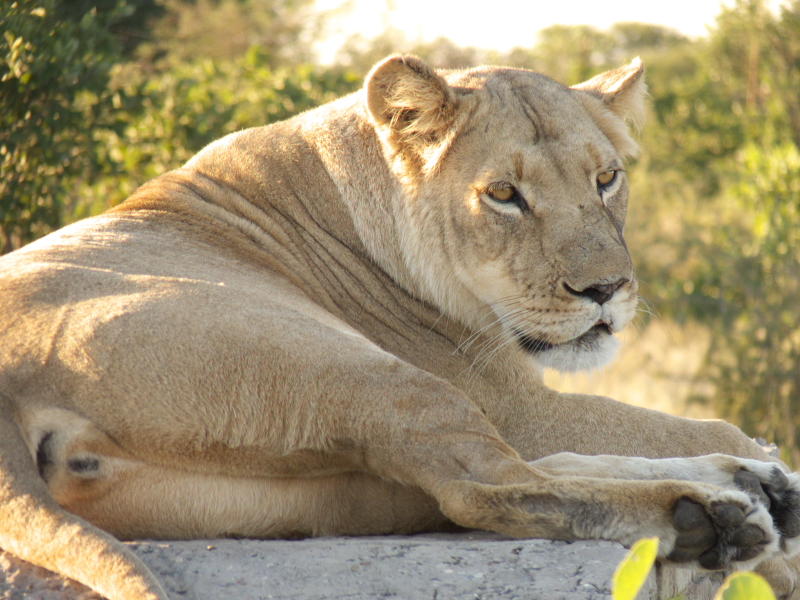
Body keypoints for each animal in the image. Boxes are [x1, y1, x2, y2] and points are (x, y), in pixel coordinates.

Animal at [1, 55, 800, 600]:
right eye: (503, 195)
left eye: (606, 179)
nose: (606, 290)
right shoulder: (515, 401)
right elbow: (678, 423)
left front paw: (762, 469)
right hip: (351, 369)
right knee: (490, 486)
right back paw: (711, 518)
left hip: (296, 493)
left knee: (479, 484)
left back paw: (751, 488)